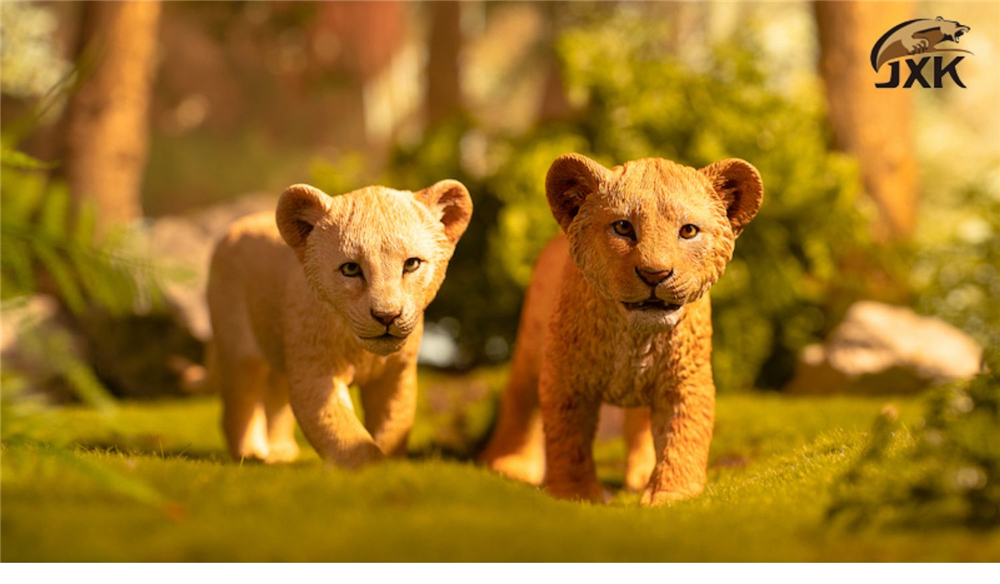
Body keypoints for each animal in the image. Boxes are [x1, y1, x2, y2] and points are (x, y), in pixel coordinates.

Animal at [206, 181, 472, 467]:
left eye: (411, 264)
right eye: (350, 269)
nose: (387, 316)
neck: (361, 350)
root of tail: (234, 227)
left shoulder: (396, 374)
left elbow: (393, 425)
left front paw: (392, 467)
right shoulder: (316, 374)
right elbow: (344, 434)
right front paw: (375, 469)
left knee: (275, 398)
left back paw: (280, 452)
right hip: (237, 352)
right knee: (239, 403)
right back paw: (250, 453)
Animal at [480, 154, 763, 505]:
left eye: (688, 230)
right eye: (623, 227)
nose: (655, 273)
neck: (637, 338)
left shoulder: (686, 380)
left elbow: (684, 436)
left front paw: (671, 496)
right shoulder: (567, 379)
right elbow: (568, 440)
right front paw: (575, 495)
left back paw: (640, 475)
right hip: (531, 346)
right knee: (520, 398)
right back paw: (510, 465)